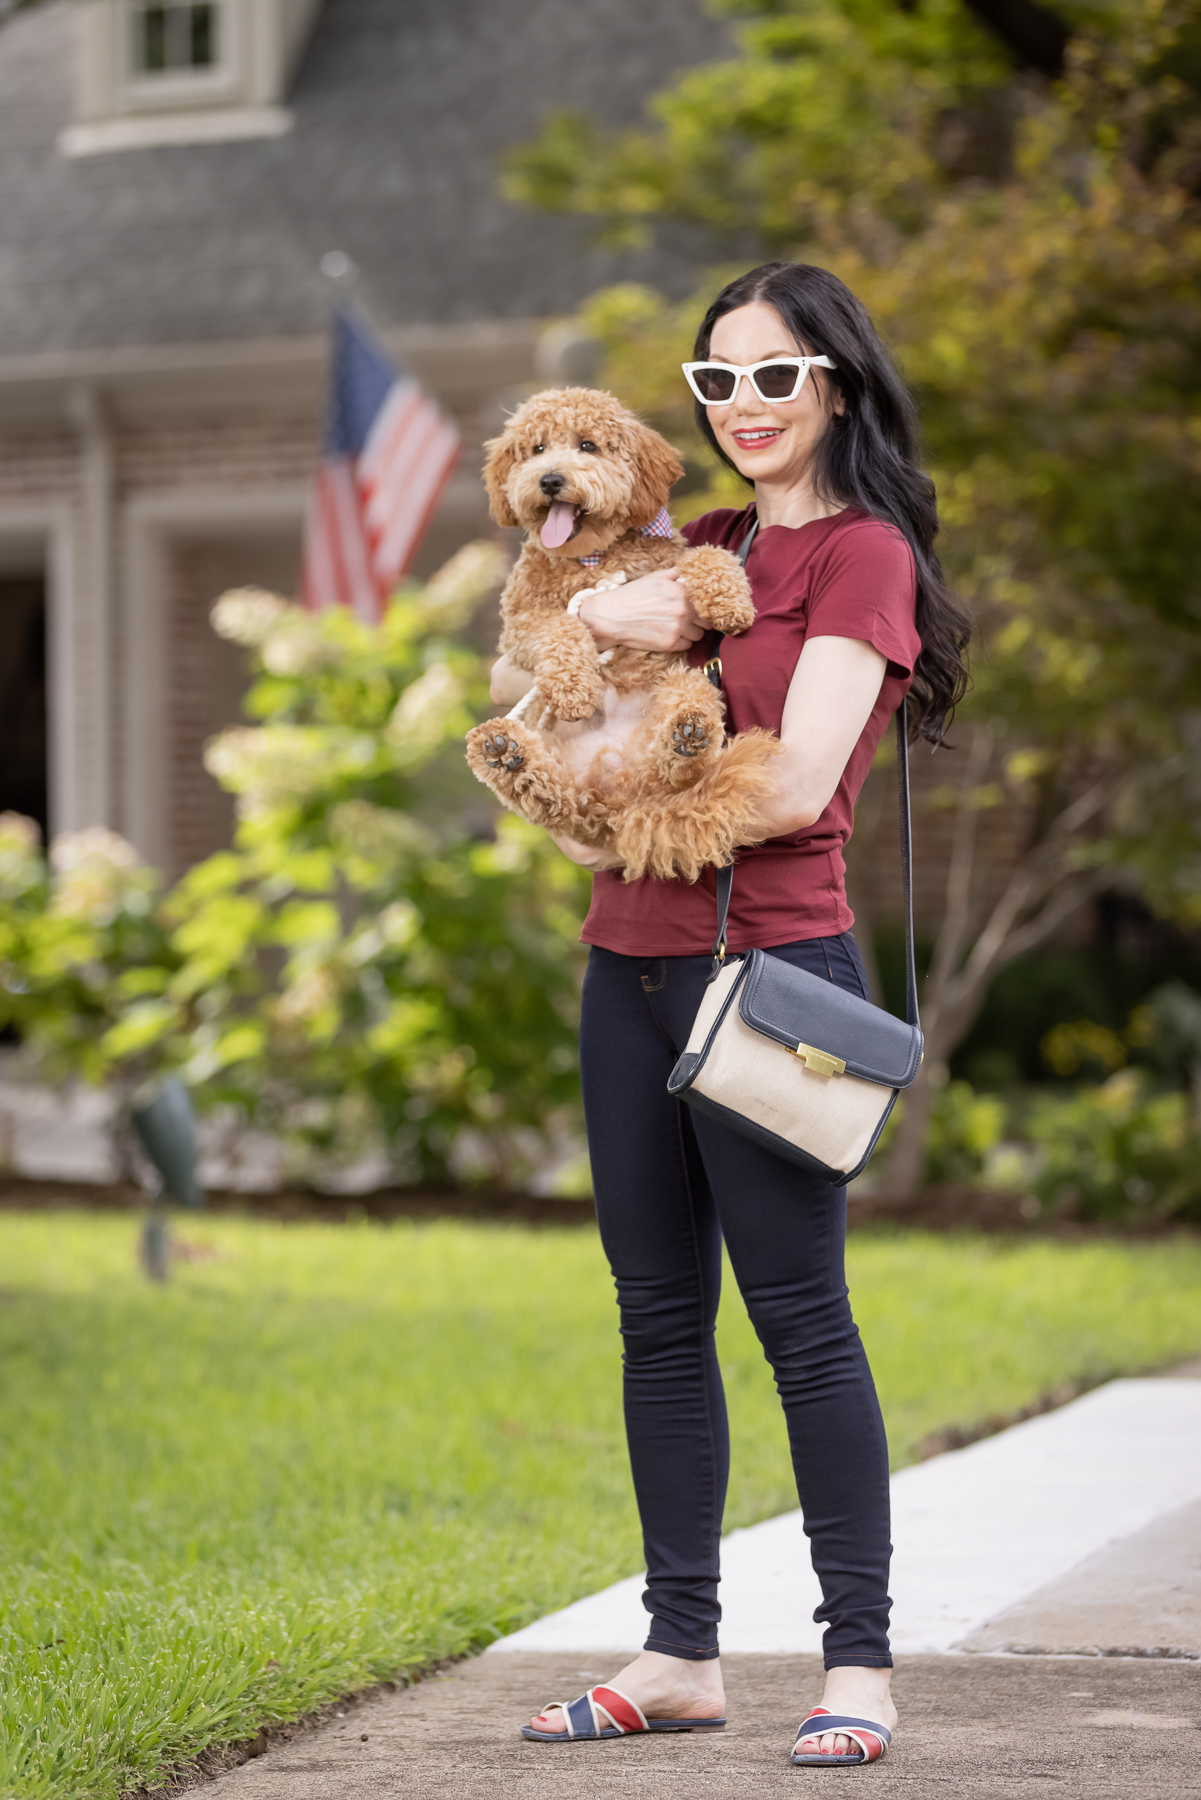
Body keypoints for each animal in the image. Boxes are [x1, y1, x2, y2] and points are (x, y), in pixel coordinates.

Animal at [464, 385, 785, 878]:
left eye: (587, 445)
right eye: (536, 449)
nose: (550, 480)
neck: (592, 558)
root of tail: (620, 800)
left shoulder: (670, 558)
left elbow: (709, 555)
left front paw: (731, 601)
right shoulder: (519, 622)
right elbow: (560, 626)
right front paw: (573, 688)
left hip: (686, 685)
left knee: (675, 760)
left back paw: (687, 737)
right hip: (554, 759)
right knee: (552, 800)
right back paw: (506, 754)